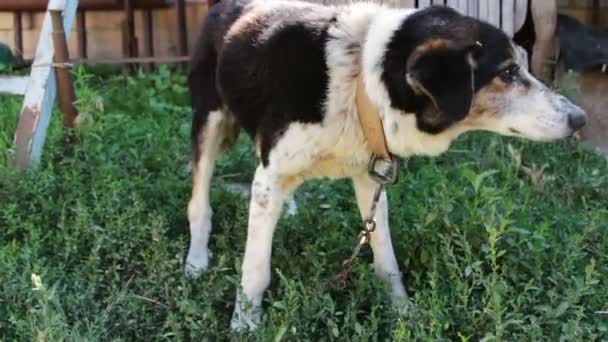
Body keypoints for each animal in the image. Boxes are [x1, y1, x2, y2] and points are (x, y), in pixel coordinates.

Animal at [184, 0, 584, 332]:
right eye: (509, 71)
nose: (580, 118)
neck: (358, 81)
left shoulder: (369, 174)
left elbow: (385, 257)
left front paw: (403, 312)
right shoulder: (272, 175)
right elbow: (255, 268)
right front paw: (244, 324)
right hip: (208, 121)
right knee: (199, 202)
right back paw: (196, 261)